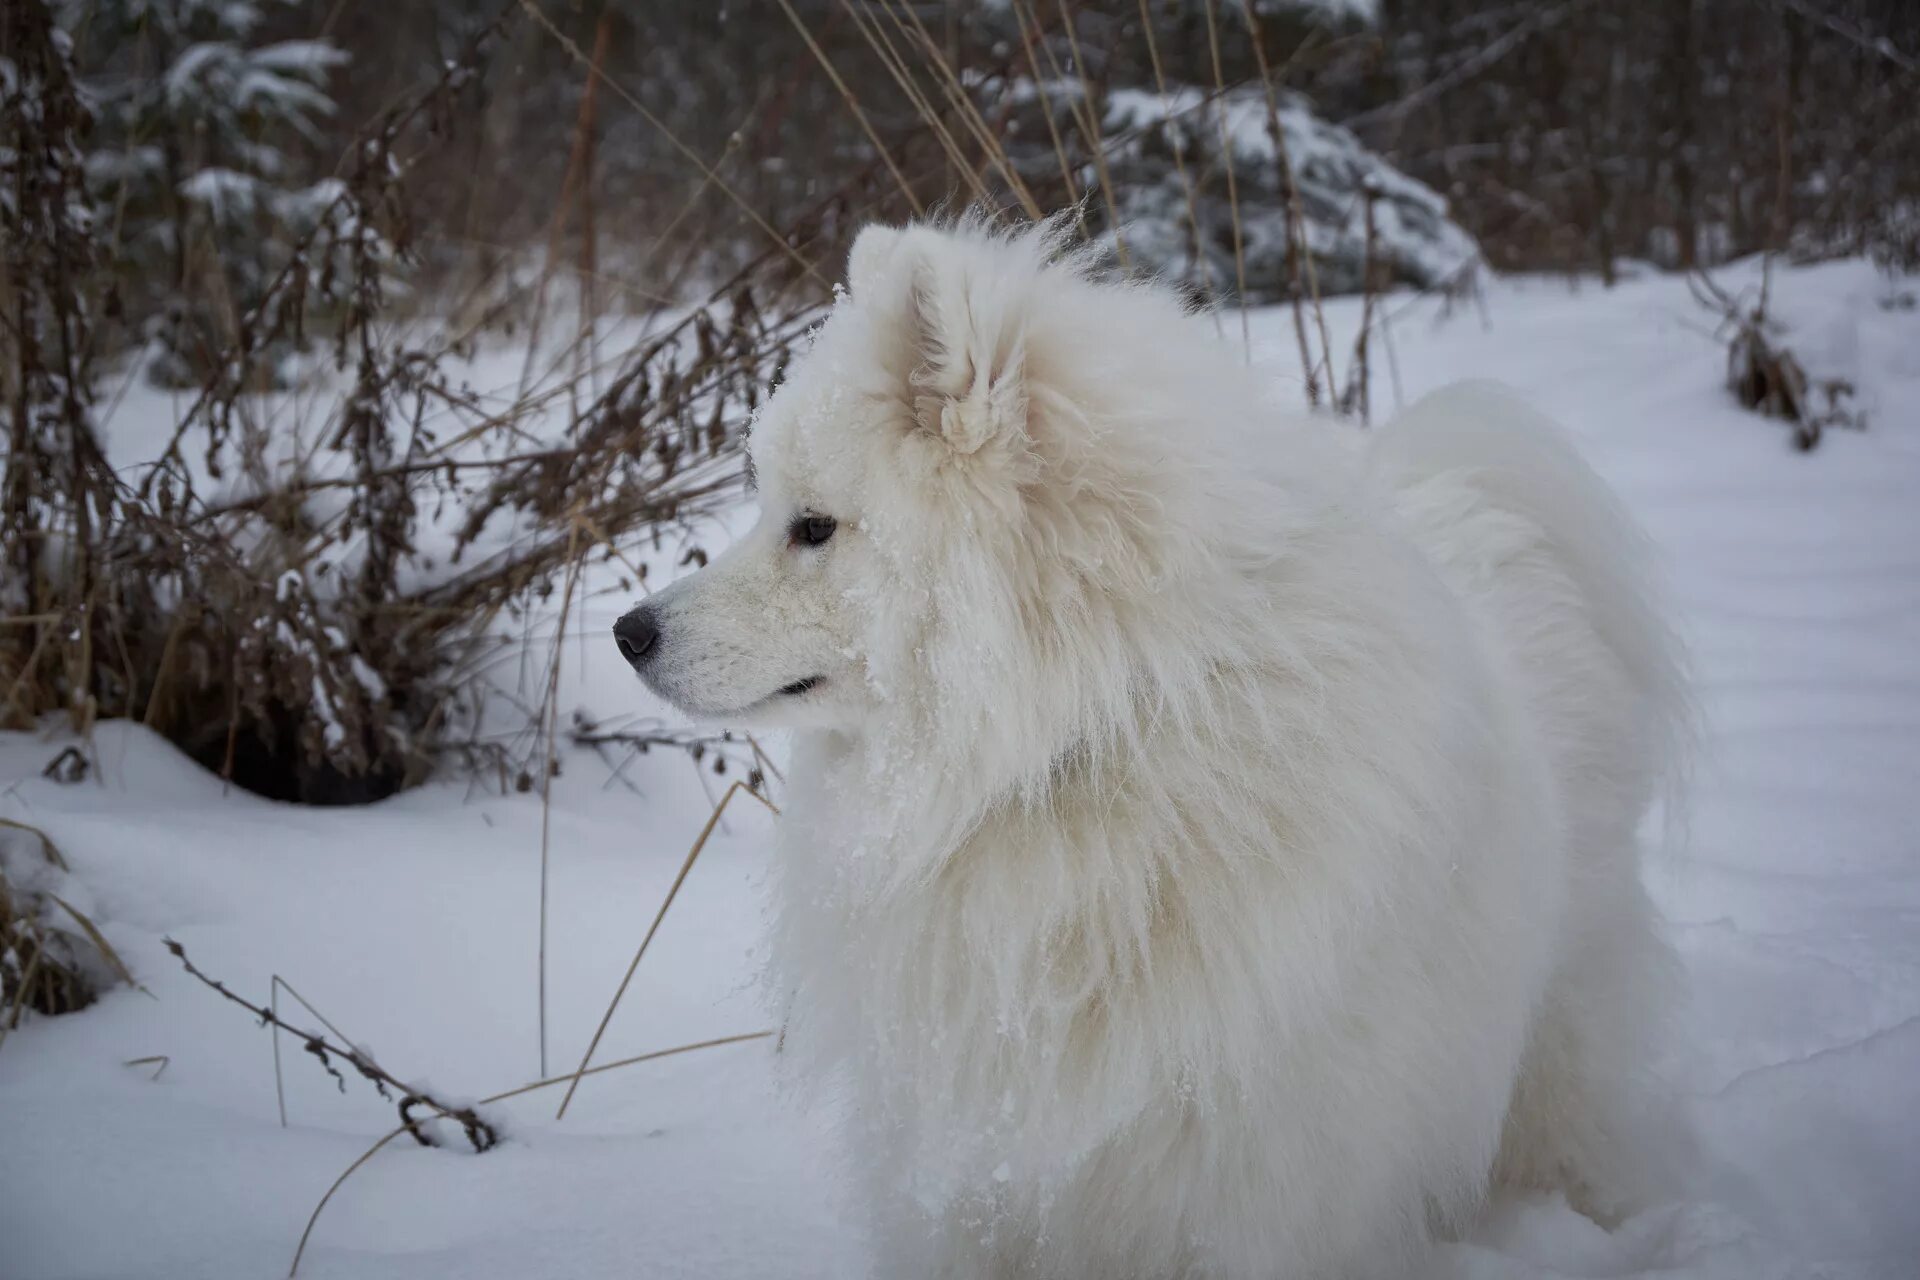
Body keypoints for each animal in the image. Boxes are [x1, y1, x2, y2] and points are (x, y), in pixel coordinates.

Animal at [622, 222, 1689, 1280]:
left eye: (814, 528)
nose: (630, 632)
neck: (1089, 739)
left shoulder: (1255, 1177)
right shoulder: (996, 1173)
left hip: (1559, 1021)